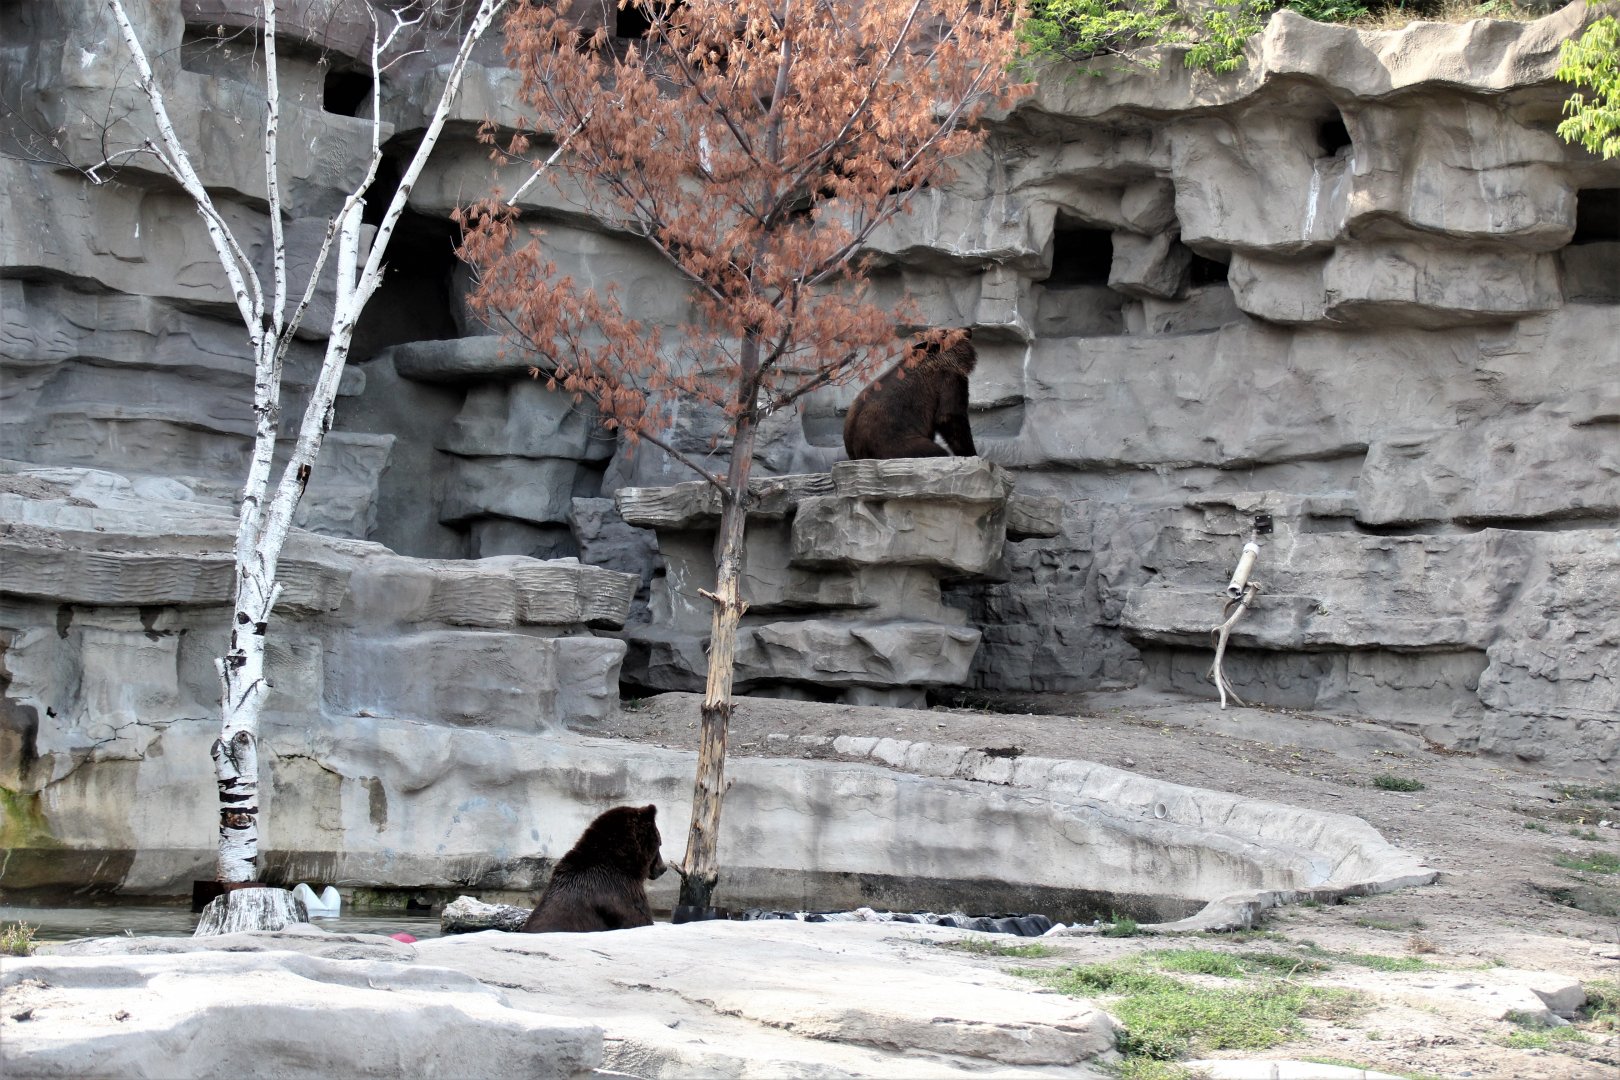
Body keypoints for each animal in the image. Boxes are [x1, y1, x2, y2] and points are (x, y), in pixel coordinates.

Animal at [842, 330, 977, 460]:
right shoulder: (949, 379)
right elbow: (950, 416)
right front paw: (971, 452)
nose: (969, 329)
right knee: (933, 450)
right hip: (896, 442)